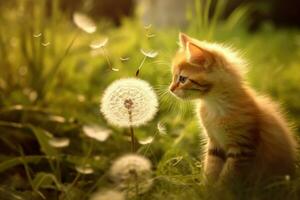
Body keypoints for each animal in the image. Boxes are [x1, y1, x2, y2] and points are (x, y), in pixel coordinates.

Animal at [169, 33, 298, 186]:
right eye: (173, 77)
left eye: (182, 79)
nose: (170, 89)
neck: (214, 105)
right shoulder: (215, 145)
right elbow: (211, 168)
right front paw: (207, 188)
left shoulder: (242, 148)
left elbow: (228, 175)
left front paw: (219, 190)